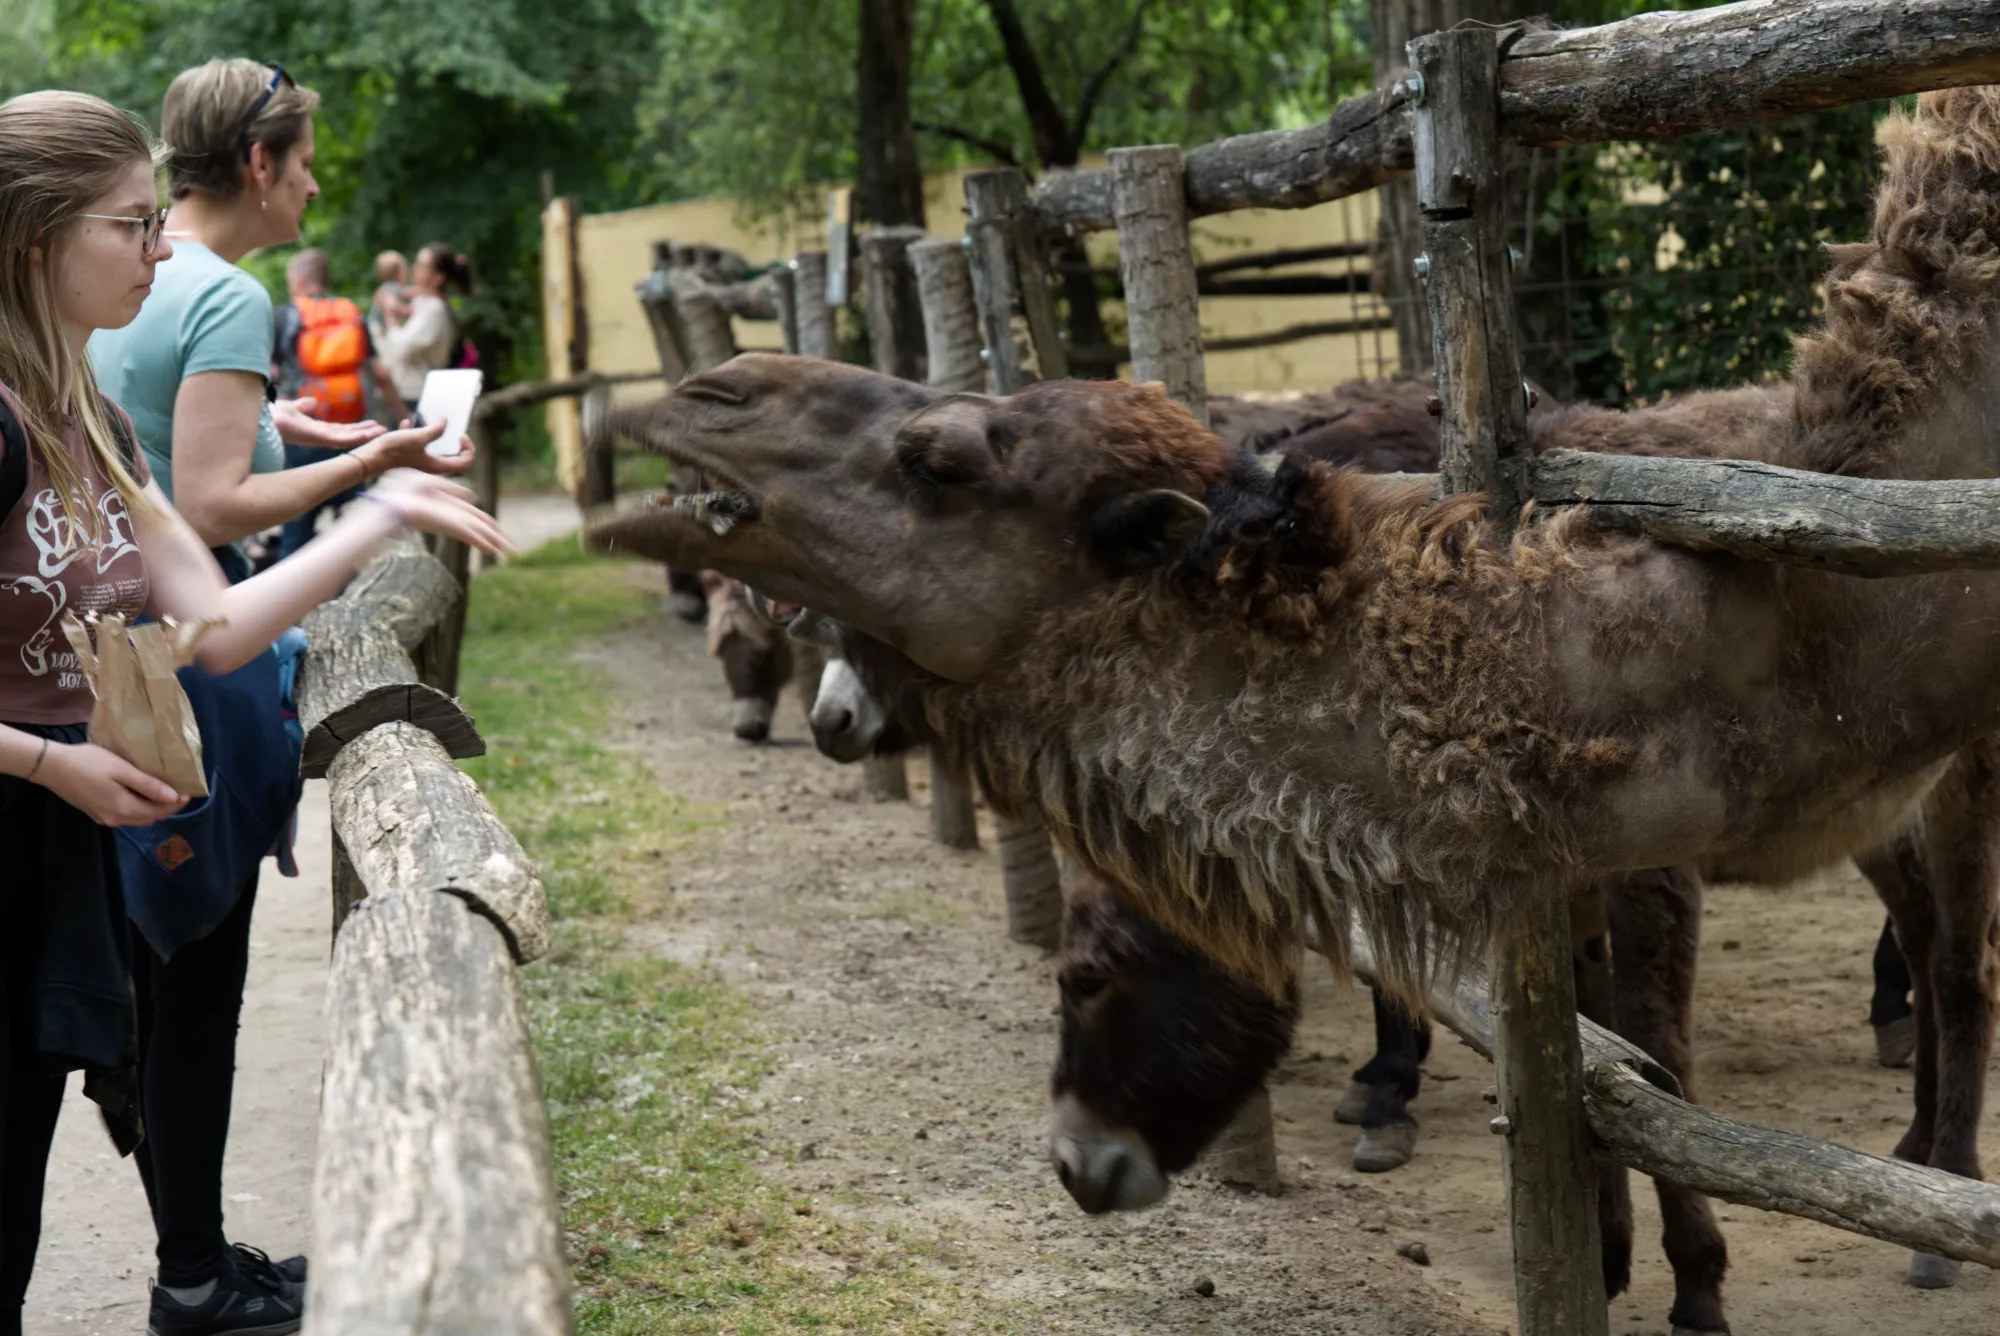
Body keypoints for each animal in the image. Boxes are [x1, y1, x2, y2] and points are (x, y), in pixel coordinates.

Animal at [596, 86, 2000, 1296]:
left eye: (936, 461)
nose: (696, 397)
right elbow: (1586, 1043)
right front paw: (1590, 1251)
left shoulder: (1662, 867)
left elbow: (1650, 1044)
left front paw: (1688, 1282)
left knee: (1954, 958)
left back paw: (1933, 1197)